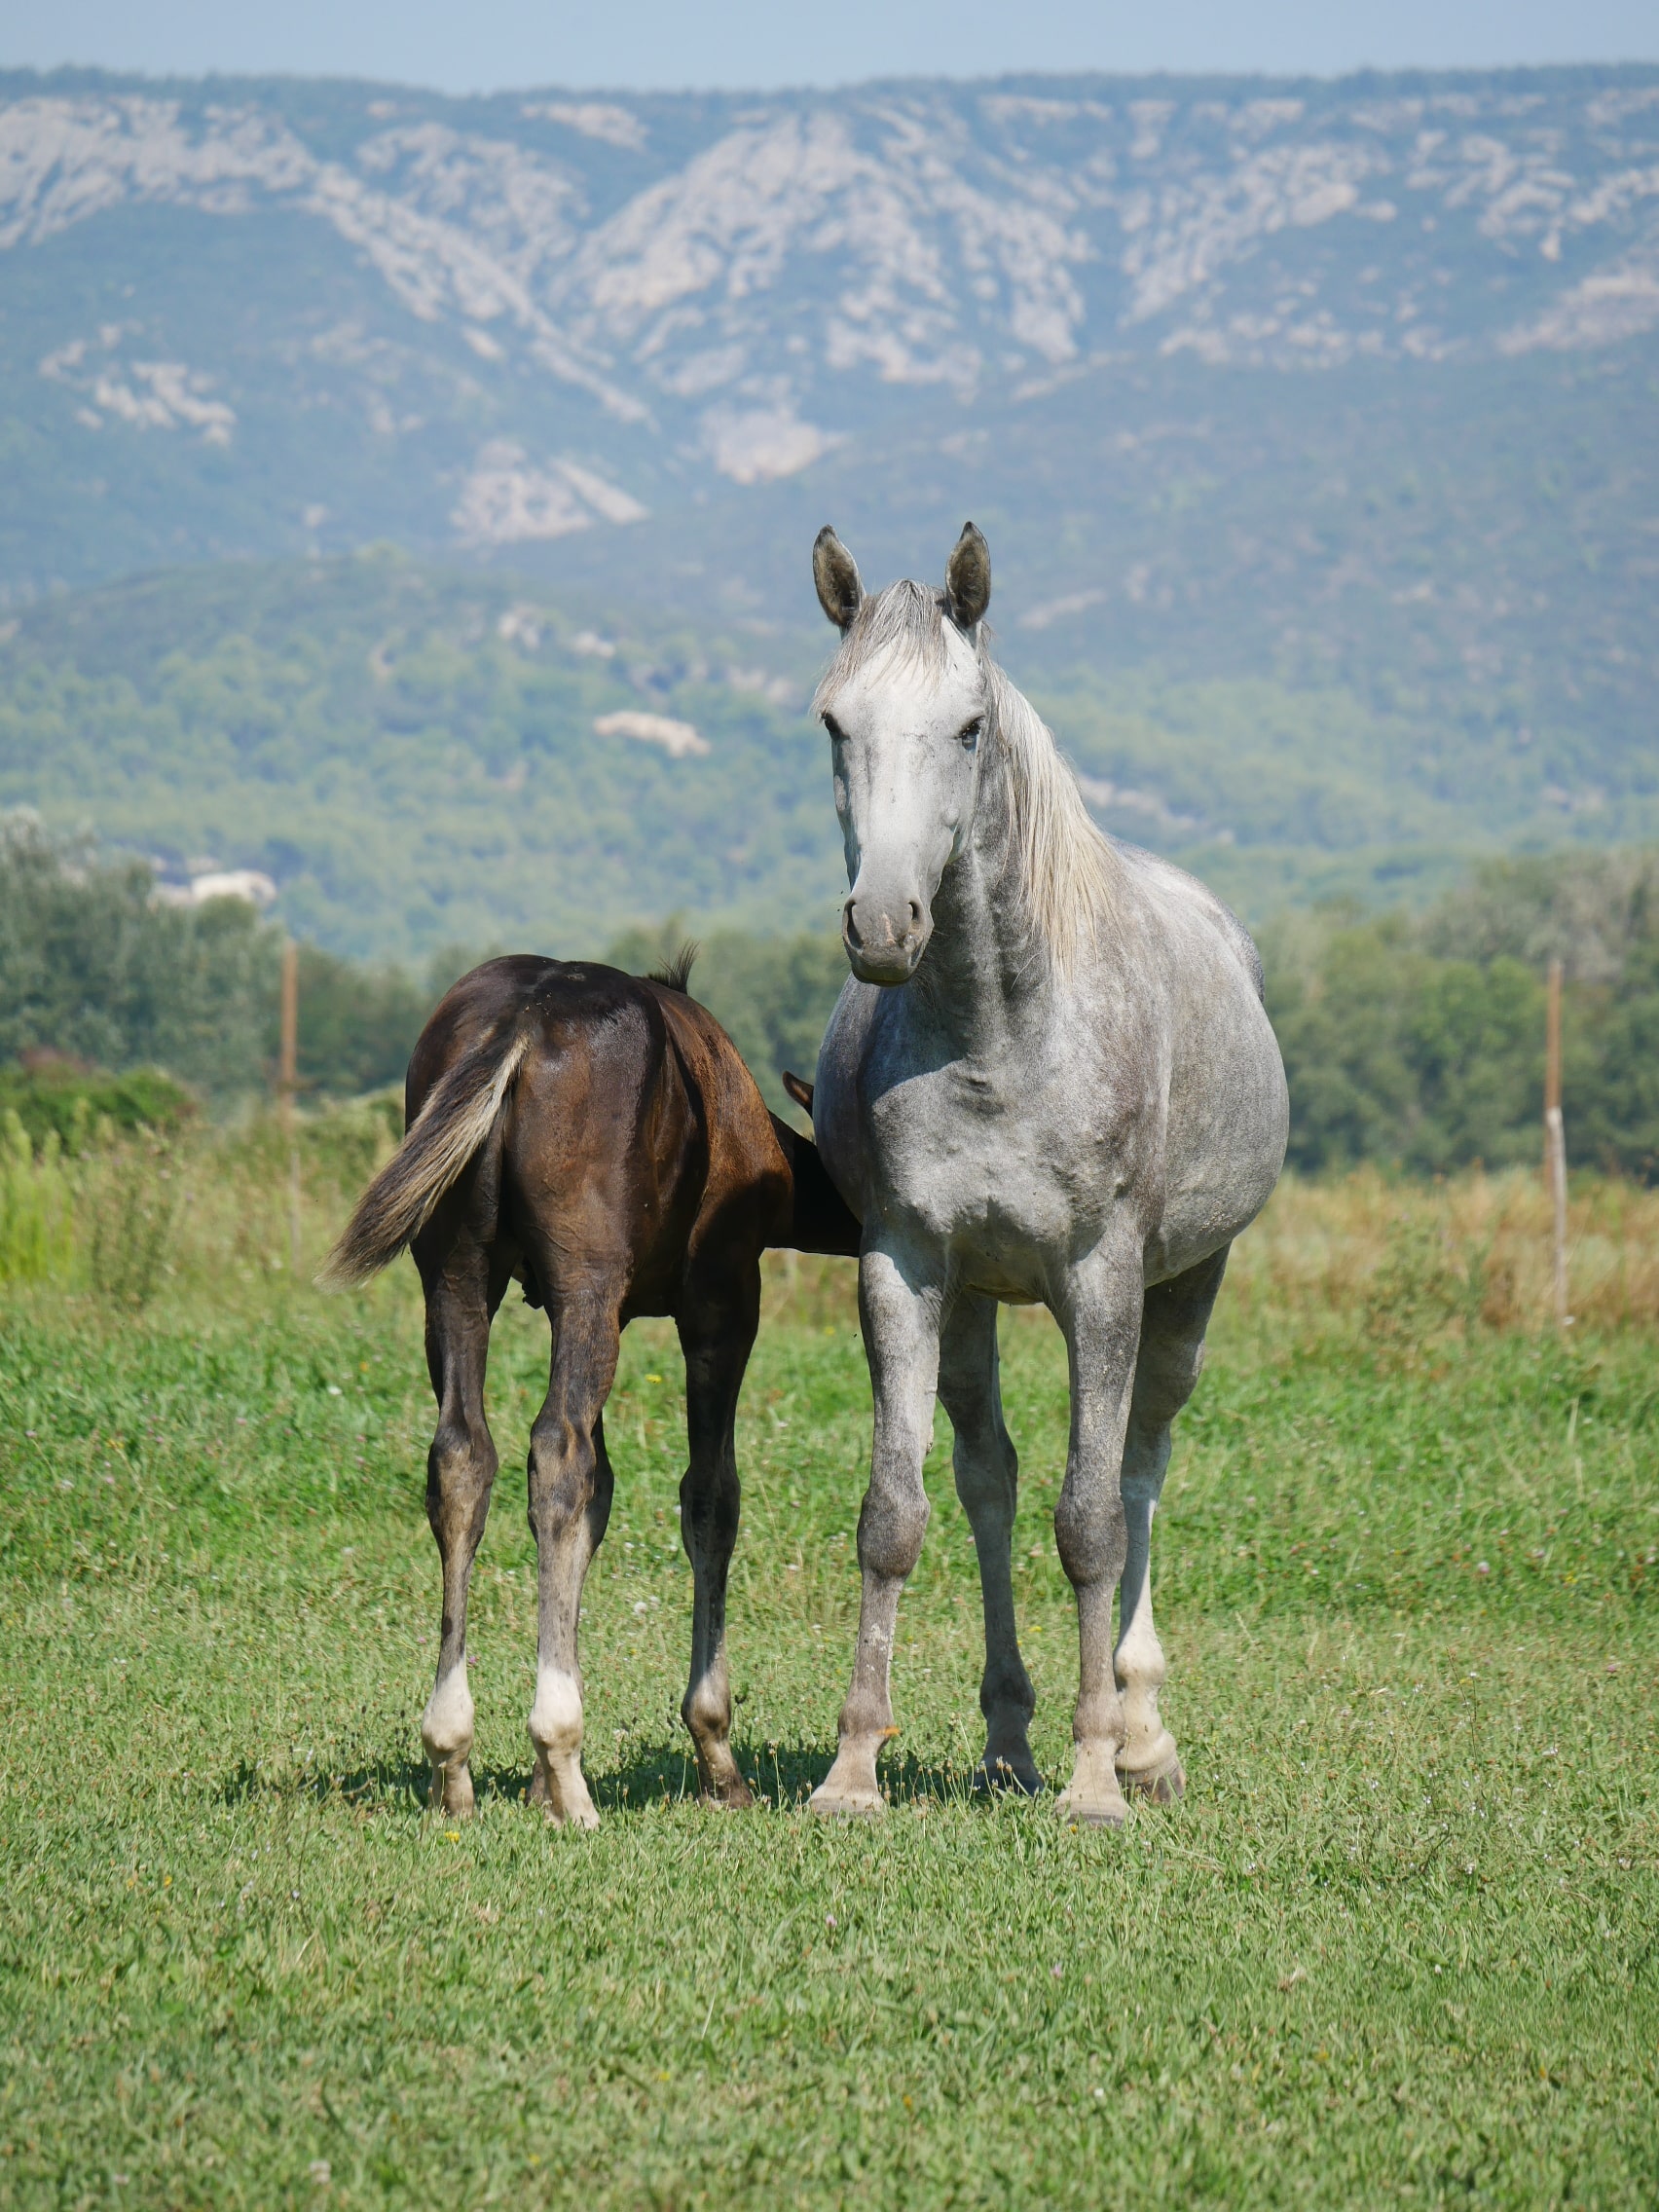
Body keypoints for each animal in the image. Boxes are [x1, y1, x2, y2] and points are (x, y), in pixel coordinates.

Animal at [322, 951, 860, 1827]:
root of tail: (521, 1020)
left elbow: (593, 1502)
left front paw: (536, 1780)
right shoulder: (720, 1301)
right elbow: (709, 1497)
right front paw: (715, 1754)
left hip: (456, 1274)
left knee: (466, 1456)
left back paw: (453, 1758)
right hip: (588, 1281)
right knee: (556, 1449)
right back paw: (563, 1760)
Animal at [803, 522, 1288, 1826]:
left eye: (970, 727)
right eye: (834, 723)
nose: (883, 925)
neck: (999, 1032)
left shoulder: (1103, 1280)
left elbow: (1090, 1521)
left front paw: (1096, 1776)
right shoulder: (904, 1266)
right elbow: (894, 1515)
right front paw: (852, 1769)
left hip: (1186, 1289)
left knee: (1140, 1471)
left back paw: (1140, 1736)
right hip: (976, 1300)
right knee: (989, 1480)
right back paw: (1007, 1743)